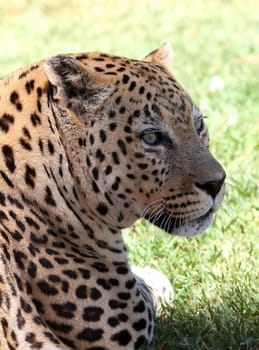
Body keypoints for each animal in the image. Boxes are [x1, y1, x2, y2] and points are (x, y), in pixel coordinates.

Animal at [0, 42, 226, 348]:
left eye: (199, 124)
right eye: (151, 137)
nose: (217, 183)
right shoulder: (125, 320)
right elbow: (150, 289)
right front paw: (153, 274)